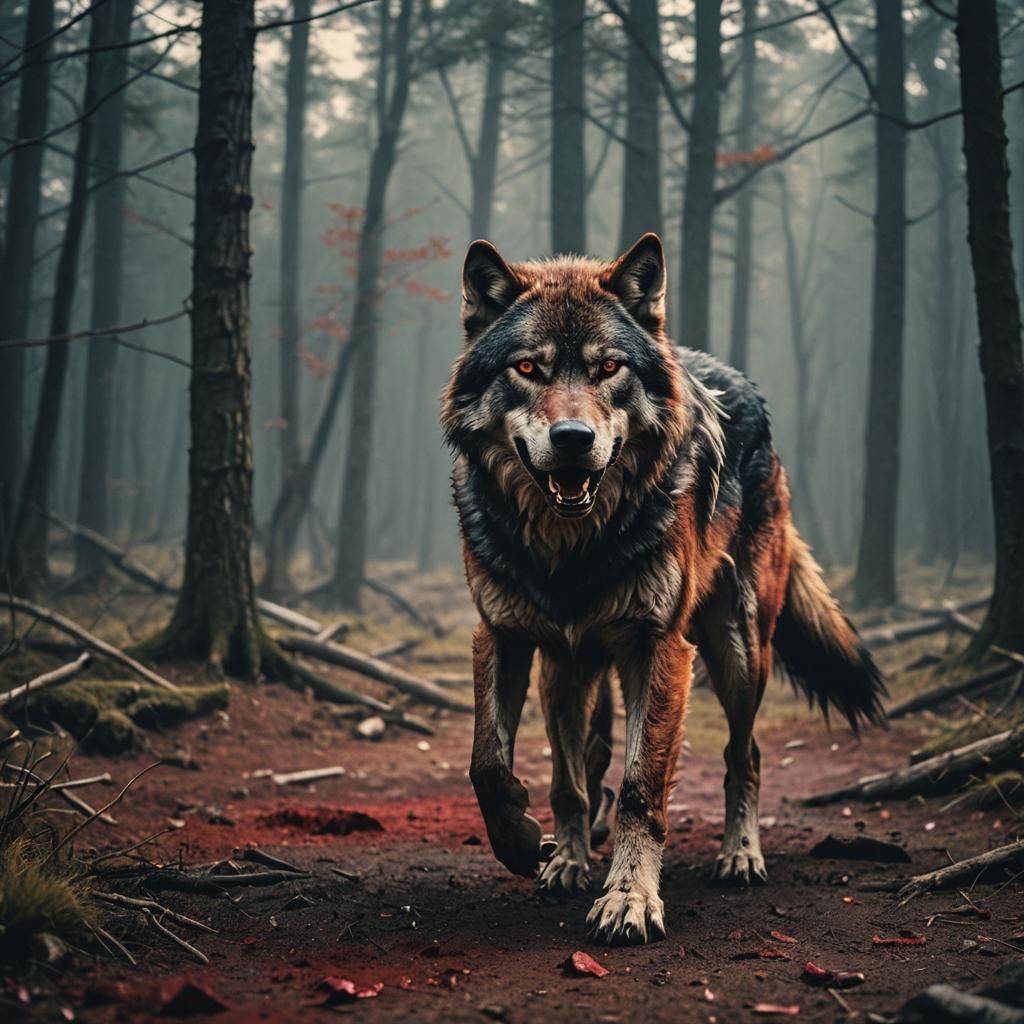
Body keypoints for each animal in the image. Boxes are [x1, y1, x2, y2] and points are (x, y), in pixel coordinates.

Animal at [442, 233, 885, 946]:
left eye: (609, 368)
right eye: (528, 368)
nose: (574, 440)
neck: (571, 550)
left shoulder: (661, 647)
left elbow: (642, 788)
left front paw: (628, 899)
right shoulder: (502, 635)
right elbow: (490, 765)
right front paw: (527, 843)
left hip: (737, 651)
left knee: (744, 753)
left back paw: (740, 856)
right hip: (569, 671)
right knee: (577, 769)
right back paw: (570, 857)